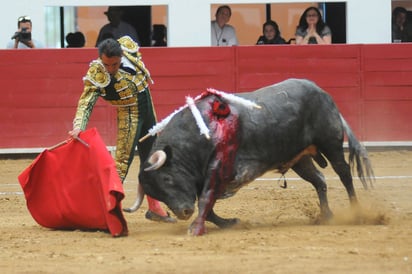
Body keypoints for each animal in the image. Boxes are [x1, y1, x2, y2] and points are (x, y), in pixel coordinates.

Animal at [124, 78, 374, 235]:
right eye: (155, 193)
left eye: (167, 179)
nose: (183, 212)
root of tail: (324, 93)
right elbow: (210, 207)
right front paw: (229, 223)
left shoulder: (218, 168)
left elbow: (206, 199)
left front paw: (195, 229)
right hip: (299, 159)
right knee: (319, 180)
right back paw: (327, 215)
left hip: (330, 144)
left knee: (344, 174)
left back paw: (357, 213)